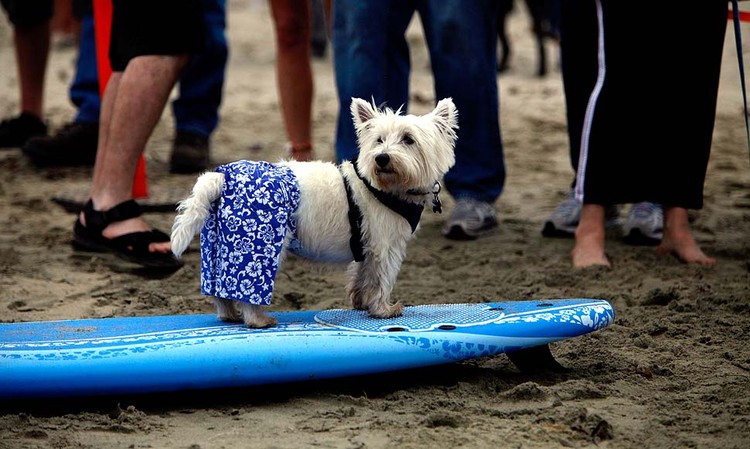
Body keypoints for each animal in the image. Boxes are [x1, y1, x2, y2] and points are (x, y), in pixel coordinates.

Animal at [172, 98, 458, 328]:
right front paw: (384, 310)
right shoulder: (386, 247)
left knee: (220, 291)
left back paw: (230, 315)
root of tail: (221, 176)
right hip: (257, 245)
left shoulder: (367, 248)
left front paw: (361, 302)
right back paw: (259, 320)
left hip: (216, 247)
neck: (383, 187)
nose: (382, 158)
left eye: (408, 139)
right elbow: (381, 280)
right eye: (379, 140)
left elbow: (362, 276)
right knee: (249, 291)